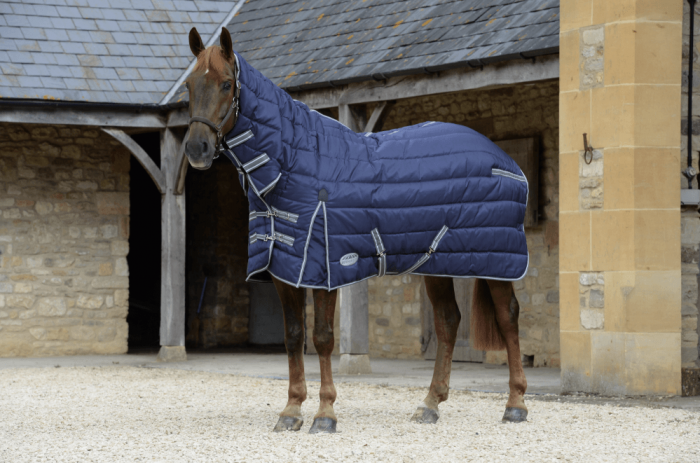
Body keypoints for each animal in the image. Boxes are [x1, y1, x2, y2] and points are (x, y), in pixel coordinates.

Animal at [183, 27, 529, 433]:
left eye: (225, 83)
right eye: (189, 84)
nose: (197, 149)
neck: (292, 162)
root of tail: (506, 160)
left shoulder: (323, 267)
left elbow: (323, 338)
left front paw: (325, 413)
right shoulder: (285, 268)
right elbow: (292, 336)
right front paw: (291, 410)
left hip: (497, 259)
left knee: (508, 317)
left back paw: (515, 404)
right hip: (437, 262)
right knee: (448, 322)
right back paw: (430, 404)